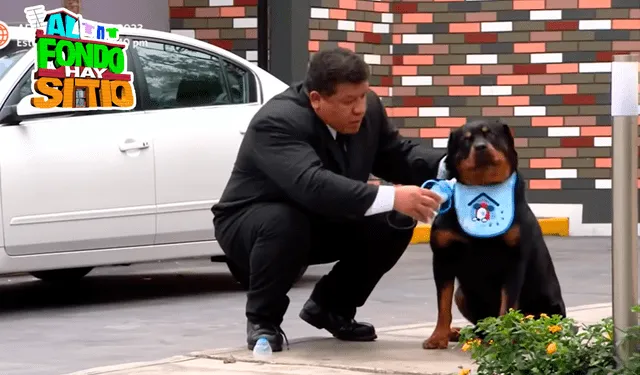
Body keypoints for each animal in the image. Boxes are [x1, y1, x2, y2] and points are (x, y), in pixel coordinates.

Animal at [424, 119, 564, 350]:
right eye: (466, 139)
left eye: (490, 135)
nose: (480, 147)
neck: (483, 187)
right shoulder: (442, 258)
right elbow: (442, 304)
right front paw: (438, 337)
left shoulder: (514, 261)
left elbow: (507, 306)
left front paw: (503, 338)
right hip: (462, 294)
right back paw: (462, 332)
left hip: (550, 306)